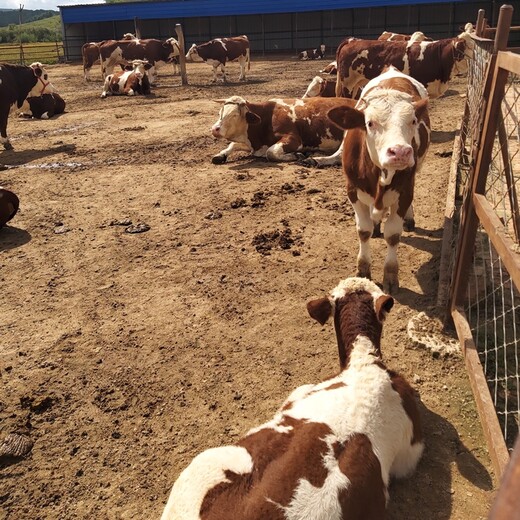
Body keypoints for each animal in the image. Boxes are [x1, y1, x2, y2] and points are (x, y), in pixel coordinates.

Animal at [209, 94, 356, 164]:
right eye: (220, 112)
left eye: (234, 115)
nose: (215, 129)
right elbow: (233, 145)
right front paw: (220, 155)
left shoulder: (293, 138)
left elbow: (271, 152)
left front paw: (296, 155)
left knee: (340, 156)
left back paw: (315, 160)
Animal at [324, 66, 430, 292]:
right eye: (370, 123)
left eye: (413, 121)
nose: (400, 152)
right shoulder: (353, 191)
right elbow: (363, 231)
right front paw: (363, 269)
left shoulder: (405, 189)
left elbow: (393, 235)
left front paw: (390, 276)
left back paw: (408, 218)